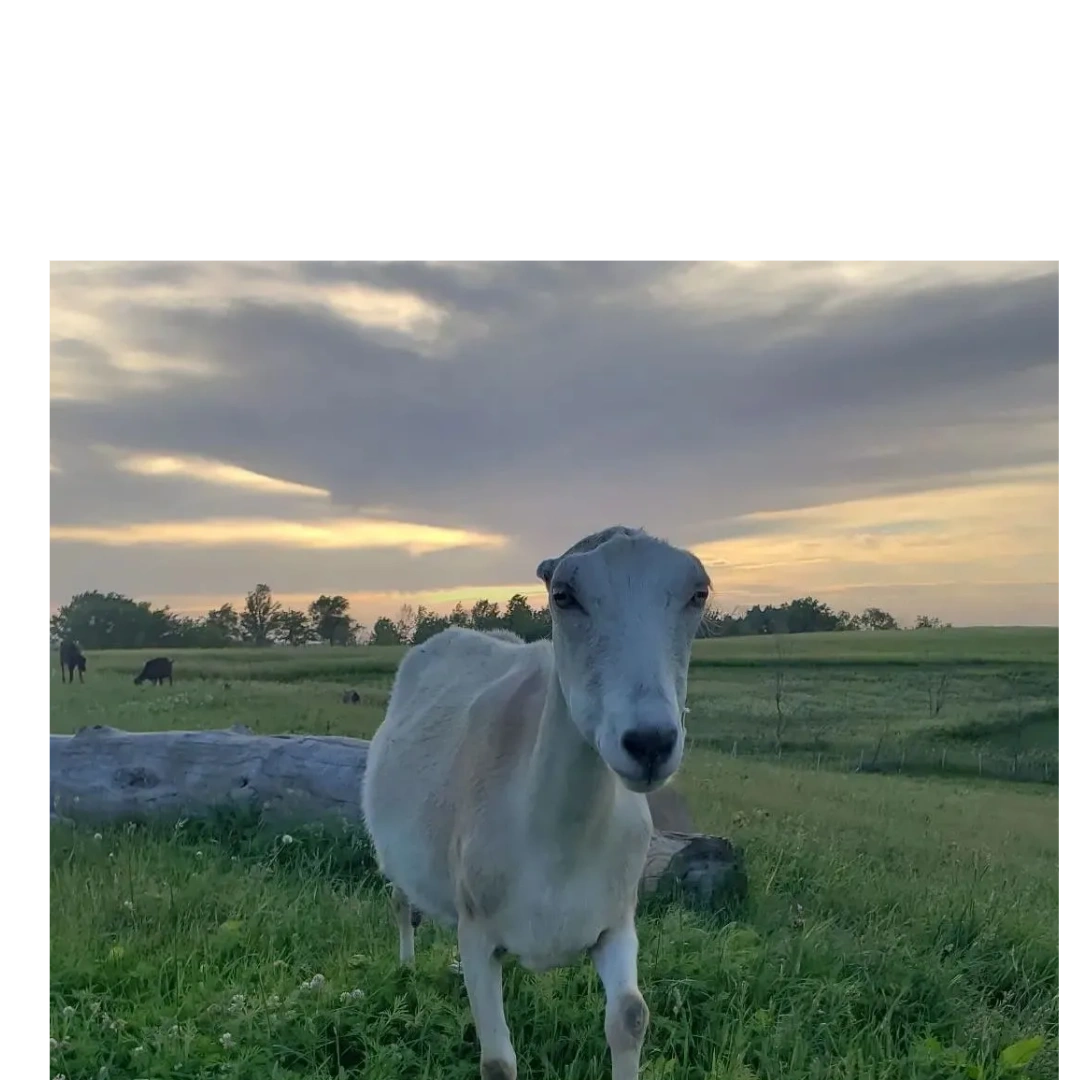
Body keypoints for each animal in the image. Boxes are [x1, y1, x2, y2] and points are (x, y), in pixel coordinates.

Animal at [362, 524, 712, 1080]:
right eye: (564, 596)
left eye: (698, 594)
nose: (650, 742)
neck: (561, 843)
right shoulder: (478, 932)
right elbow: (497, 1062)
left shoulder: (616, 921)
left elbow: (630, 1017)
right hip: (396, 854)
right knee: (401, 904)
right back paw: (407, 969)